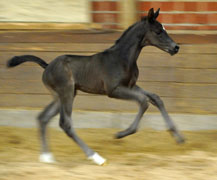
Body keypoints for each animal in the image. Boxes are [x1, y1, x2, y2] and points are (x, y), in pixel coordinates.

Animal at [6, 8, 184, 165]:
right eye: (158, 31)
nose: (176, 47)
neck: (122, 58)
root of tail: (47, 66)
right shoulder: (114, 90)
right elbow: (143, 101)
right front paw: (121, 134)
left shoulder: (131, 85)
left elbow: (155, 98)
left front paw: (178, 136)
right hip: (67, 93)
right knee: (65, 124)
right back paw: (96, 157)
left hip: (61, 96)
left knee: (43, 118)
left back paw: (47, 157)